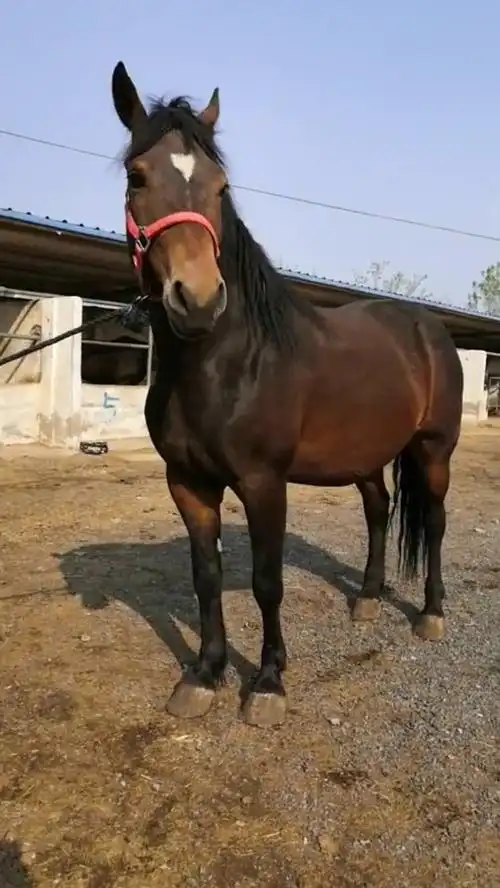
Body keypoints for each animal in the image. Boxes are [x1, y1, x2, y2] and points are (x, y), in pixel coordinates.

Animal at [111, 61, 464, 727]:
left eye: (221, 186)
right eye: (136, 176)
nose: (198, 301)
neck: (223, 361)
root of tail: (426, 326)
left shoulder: (263, 482)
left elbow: (265, 581)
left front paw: (268, 683)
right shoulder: (187, 483)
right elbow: (206, 575)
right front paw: (204, 674)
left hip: (434, 451)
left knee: (432, 522)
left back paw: (430, 613)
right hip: (366, 457)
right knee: (379, 511)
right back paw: (368, 598)